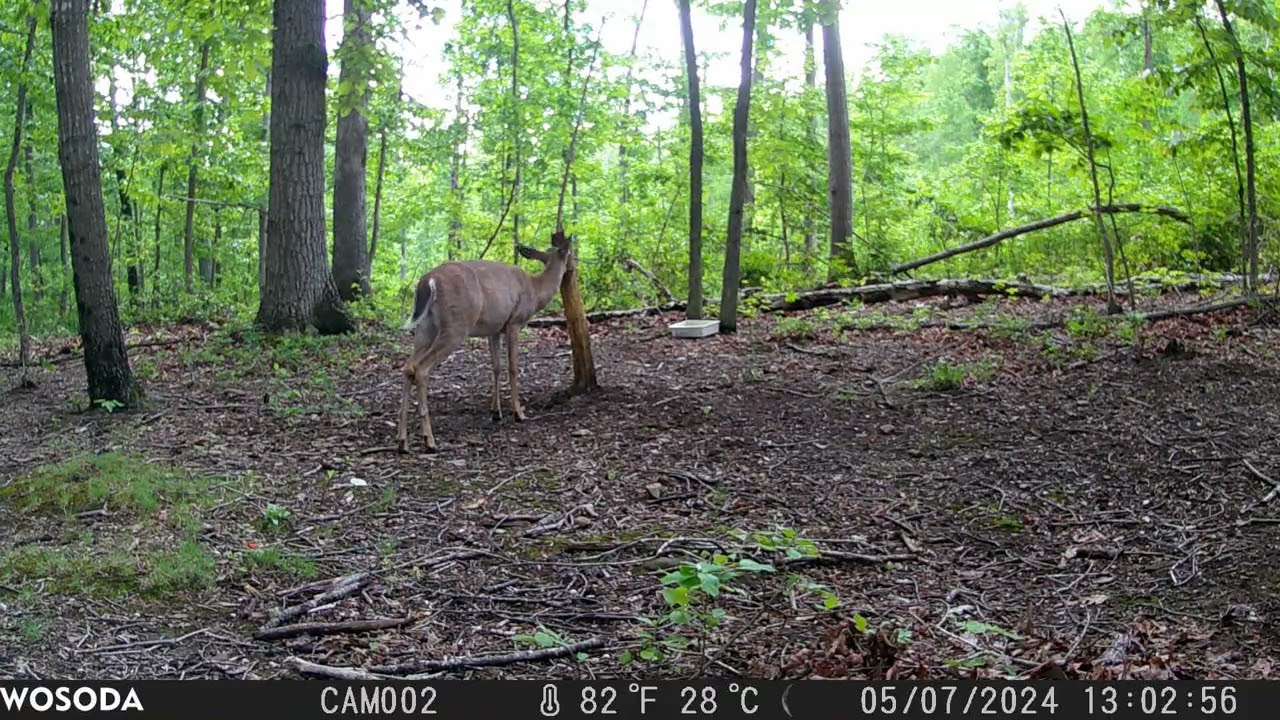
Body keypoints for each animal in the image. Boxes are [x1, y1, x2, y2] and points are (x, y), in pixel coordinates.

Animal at [396, 231, 572, 453]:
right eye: (570, 254)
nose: (573, 270)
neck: (535, 290)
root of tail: (428, 281)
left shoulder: (494, 329)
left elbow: (496, 367)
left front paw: (495, 412)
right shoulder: (514, 323)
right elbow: (512, 367)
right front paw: (518, 413)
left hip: (425, 328)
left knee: (408, 367)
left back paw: (402, 442)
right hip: (455, 326)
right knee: (421, 369)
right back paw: (430, 441)